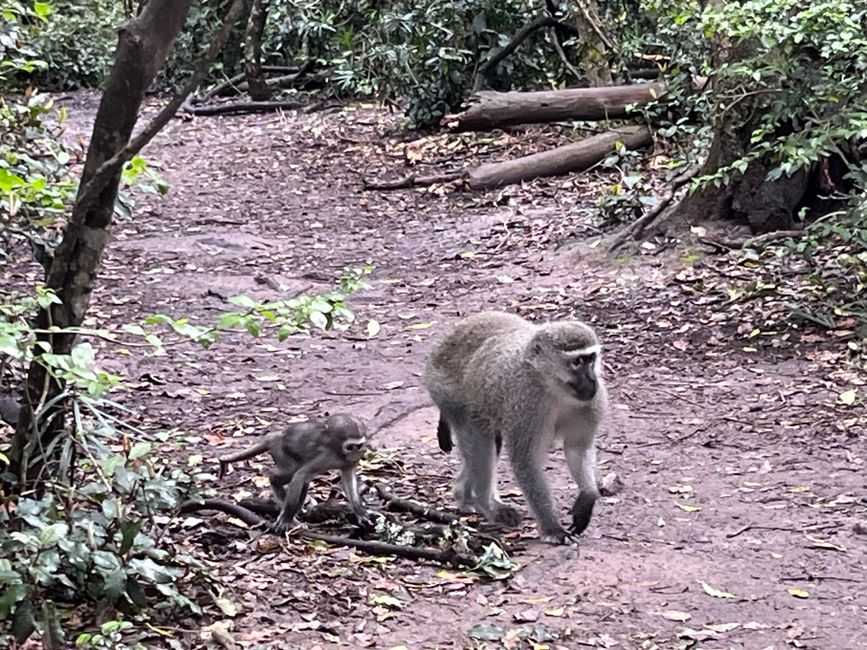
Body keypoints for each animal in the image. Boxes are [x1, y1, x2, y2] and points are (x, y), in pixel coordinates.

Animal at [219, 410, 372, 532]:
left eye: (358, 446)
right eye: (350, 447)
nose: (356, 453)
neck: (339, 452)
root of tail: (278, 435)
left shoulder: (349, 462)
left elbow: (348, 478)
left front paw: (359, 511)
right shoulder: (325, 456)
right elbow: (300, 474)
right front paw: (287, 517)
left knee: (304, 481)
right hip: (280, 450)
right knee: (285, 474)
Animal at [424, 312, 608, 544]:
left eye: (591, 359)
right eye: (577, 362)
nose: (592, 379)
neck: (553, 388)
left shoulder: (593, 402)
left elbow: (578, 448)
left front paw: (588, 496)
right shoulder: (525, 403)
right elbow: (526, 461)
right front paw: (552, 528)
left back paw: (465, 496)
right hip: (447, 395)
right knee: (479, 438)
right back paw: (485, 502)